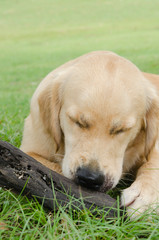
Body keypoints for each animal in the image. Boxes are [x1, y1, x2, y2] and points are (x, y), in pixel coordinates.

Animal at [20, 51, 159, 218]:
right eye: (77, 121)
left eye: (122, 129)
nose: (90, 178)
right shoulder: (29, 149)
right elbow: (50, 169)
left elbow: (154, 160)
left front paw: (144, 195)